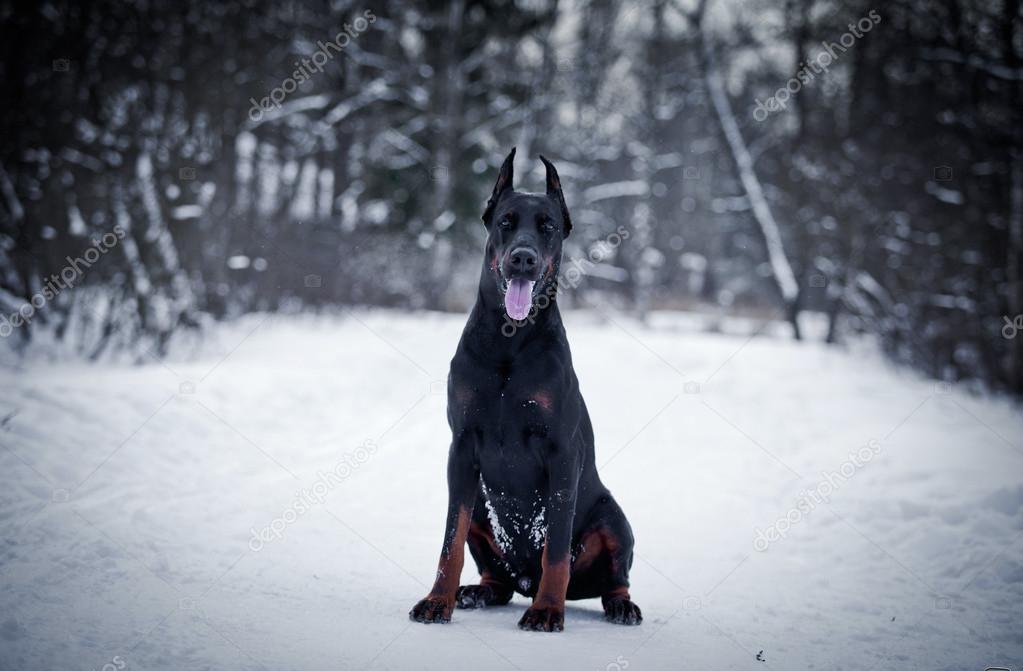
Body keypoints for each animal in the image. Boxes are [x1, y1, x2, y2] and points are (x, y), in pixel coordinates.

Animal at [405, 149, 638, 630]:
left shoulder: (562, 452)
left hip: (613, 517)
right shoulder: (462, 447)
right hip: (481, 507)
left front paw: (547, 610)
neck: (509, 340)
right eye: (506, 222)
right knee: (497, 577)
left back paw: (618, 604)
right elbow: (450, 541)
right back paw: (474, 592)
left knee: (613, 578)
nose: (524, 259)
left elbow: (557, 550)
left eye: (547, 226)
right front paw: (438, 600)